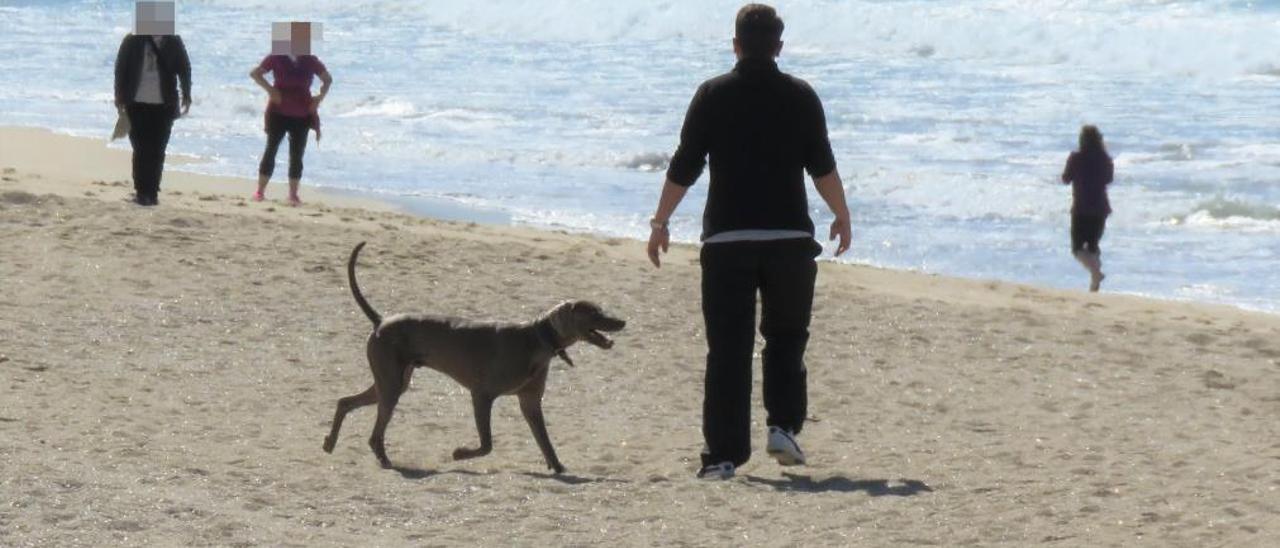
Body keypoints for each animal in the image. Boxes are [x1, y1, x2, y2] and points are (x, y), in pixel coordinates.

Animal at [322, 241, 627, 473]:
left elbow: (545, 442)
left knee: (345, 402)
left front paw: (558, 467)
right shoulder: (482, 395)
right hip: (392, 383)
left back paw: (330, 442)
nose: (623, 321)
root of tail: (381, 320)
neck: (539, 338)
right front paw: (459, 453)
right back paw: (385, 460)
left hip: (394, 380)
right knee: (374, 434)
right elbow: (487, 444)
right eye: (595, 313)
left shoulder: (530, 402)